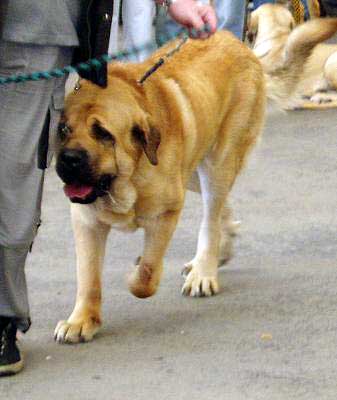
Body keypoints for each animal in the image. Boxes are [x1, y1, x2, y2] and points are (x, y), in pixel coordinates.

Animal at [52, 19, 336, 344]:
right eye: (63, 129)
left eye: (103, 133)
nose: (69, 159)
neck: (129, 179)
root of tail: (240, 45)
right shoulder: (86, 221)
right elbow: (88, 276)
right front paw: (82, 320)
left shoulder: (166, 213)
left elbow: (147, 274)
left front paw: (136, 275)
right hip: (194, 169)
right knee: (223, 208)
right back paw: (221, 249)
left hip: (217, 163)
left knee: (211, 219)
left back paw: (204, 271)